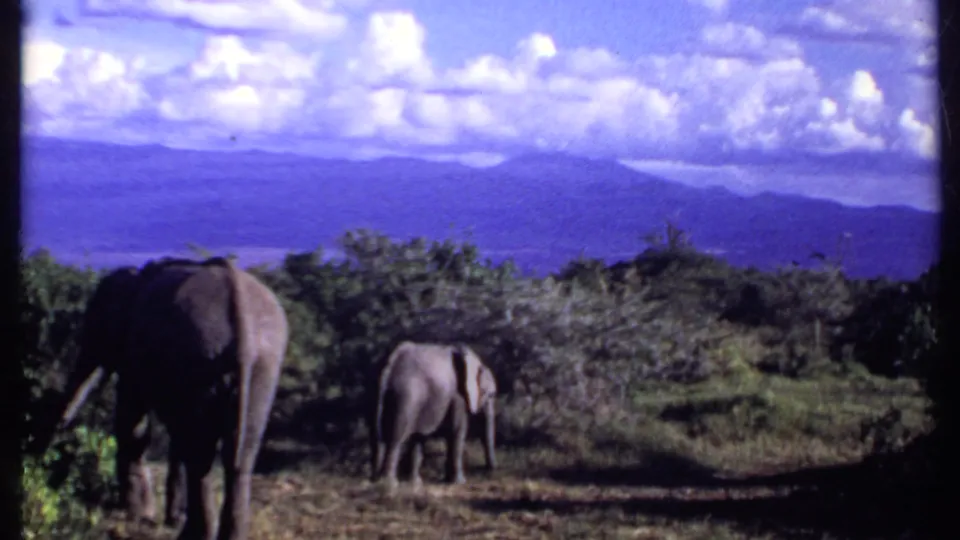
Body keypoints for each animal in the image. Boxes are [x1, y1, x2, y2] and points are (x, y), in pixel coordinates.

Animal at [46, 256, 289, 540]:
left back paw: (192, 534)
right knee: (238, 454)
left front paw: (138, 514)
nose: (60, 427)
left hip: (201, 355)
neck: (135, 278)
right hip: (262, 367)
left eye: (96, 328)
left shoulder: (135, 352)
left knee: (201, 453)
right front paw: (168, 516)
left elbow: (132, 421)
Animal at [369, 341, 497, 490]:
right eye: (489, 394)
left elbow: (420, 436)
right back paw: (389, 484)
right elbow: (456, 431)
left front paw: (417, 483)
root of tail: (388, 366)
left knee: (378, 438)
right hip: (406, 397)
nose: (488, 472)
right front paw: (459, 482)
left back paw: (377, 481)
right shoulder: (457, 395)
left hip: (377, 395)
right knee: (395, 437)